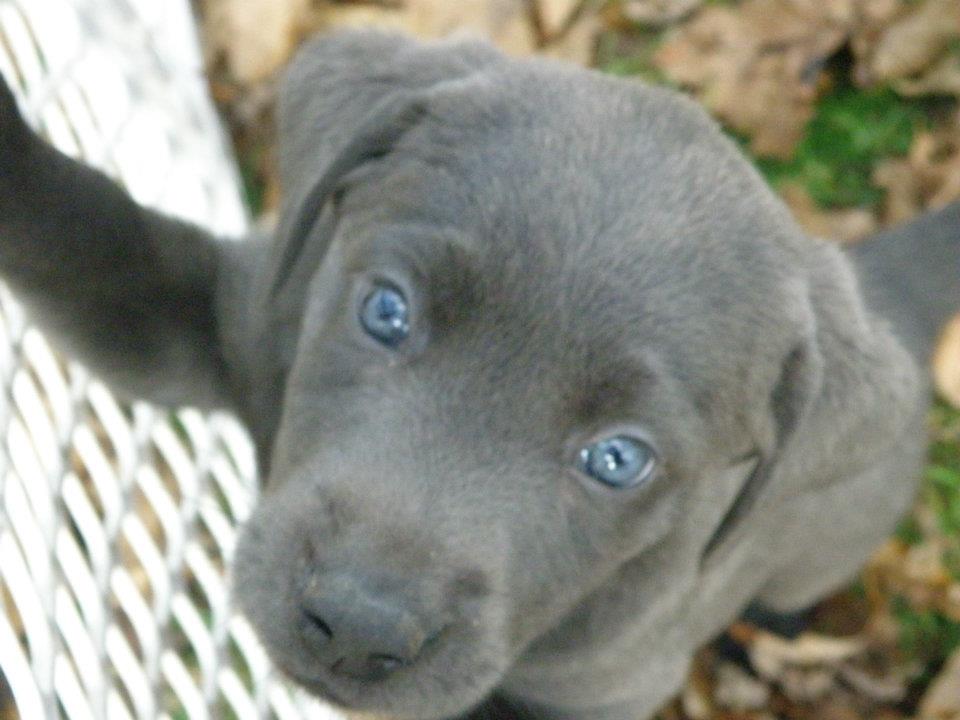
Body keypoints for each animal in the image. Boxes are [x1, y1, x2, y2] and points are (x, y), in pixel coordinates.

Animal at [0, 32, 956, 720]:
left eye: (619, 460)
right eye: (386, 311)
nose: (356, 627)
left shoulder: (604, 686)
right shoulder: (232, 315)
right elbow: (88, 233)